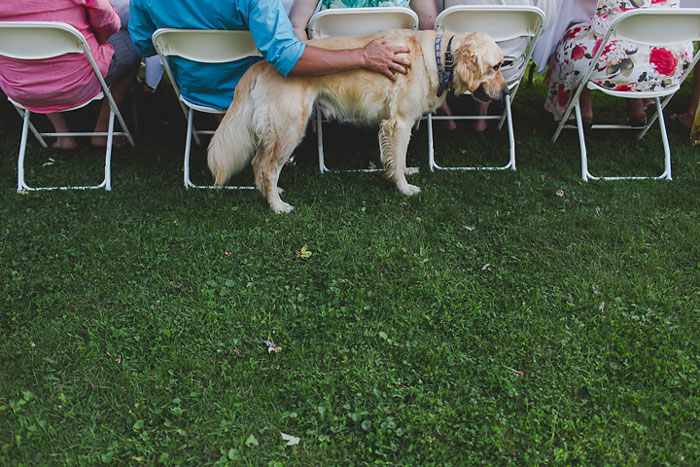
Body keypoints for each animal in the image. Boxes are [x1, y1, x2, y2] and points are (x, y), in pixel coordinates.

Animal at [205, 29, 506, 212]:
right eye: (496, 66)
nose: (505, 92)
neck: (437, 56)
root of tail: (263, 63)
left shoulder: (401, 125)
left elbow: (400, 157)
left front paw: (405, 171)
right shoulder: (400, 122)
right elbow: (397, 157)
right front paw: (404, 188)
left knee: (258, 162)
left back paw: (269, 195)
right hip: (290, 128)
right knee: (268, 167)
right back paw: (278, 206)